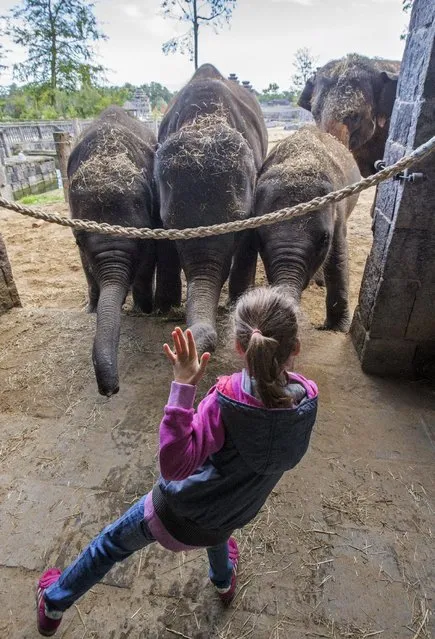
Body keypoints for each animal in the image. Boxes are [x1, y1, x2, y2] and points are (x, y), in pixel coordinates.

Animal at [155, 64, 268, 352]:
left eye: (238, 222)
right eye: (170, 225)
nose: (184, 339)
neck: (205, 118)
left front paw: (238, 302)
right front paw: (166, 307)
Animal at [242, 127, 362, 332]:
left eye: (324, 239)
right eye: (259, 238)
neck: (298, 162)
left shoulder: (338, 210)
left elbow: (337, 257)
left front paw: (337, 329)